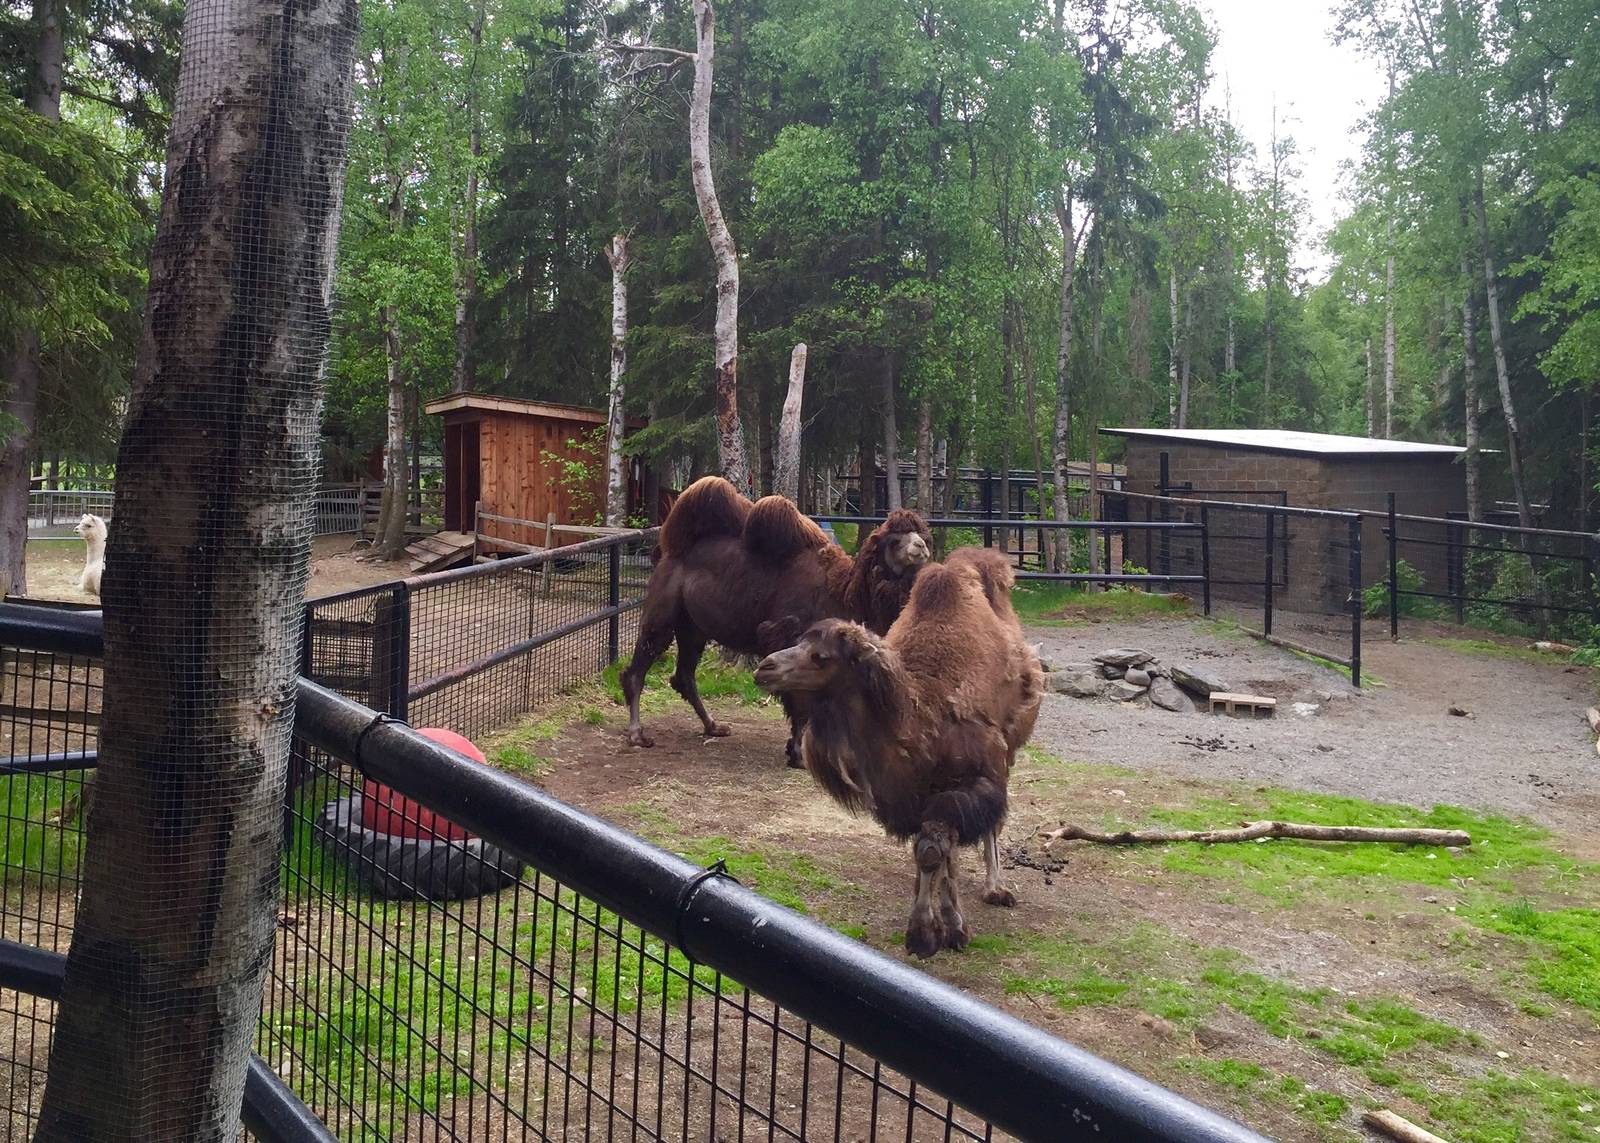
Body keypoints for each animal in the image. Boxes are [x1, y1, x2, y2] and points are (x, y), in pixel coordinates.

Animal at [620, 476, 932, 758]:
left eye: (922, 535)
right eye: (894, 541)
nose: (922, 548)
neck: (845, 593)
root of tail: (666, 552)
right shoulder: (788, 635)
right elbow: (800, 698)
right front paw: (797, 752)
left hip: (693, 628)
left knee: (684, 675)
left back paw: (714, 726)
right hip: (663, 611)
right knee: (640, 666)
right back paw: (637, 734)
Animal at [754, 550, 1044, 957]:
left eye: (821, 656)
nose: (765, 667)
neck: (921, 721)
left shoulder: (977, 778)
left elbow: (936, 849)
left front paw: (933, 932)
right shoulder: (913, 794)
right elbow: (932, 851)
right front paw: (939, 928)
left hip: (1009, 752)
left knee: (991, 824)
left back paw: (995, 888)